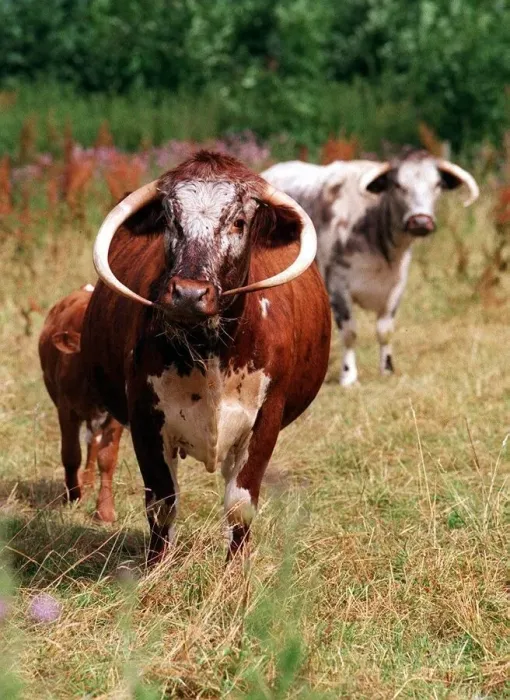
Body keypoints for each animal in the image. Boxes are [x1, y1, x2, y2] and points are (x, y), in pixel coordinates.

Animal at [38, 284, 123, 522]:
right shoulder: (66, 409)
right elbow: (71, 453)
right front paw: (73, 496)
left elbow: (107, 458)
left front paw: (105, 510)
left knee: (93, 443)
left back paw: (88, 483)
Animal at [81, 151, 331, 563]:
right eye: (170, 219)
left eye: (239, 222)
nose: (188, 293)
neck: (210, 351)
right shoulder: (144, 415)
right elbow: (162, 503)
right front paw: (157, 568)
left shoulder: (266, 419)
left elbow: (240, 503)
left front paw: (236, 570)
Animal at [262, 150, 479, 385]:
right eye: (398, 185)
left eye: (437, 184)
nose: (420, 222)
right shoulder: (338, 287)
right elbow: (349, 333)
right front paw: (348, 376)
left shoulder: (395, 288)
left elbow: (385, 331)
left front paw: (387, 369)